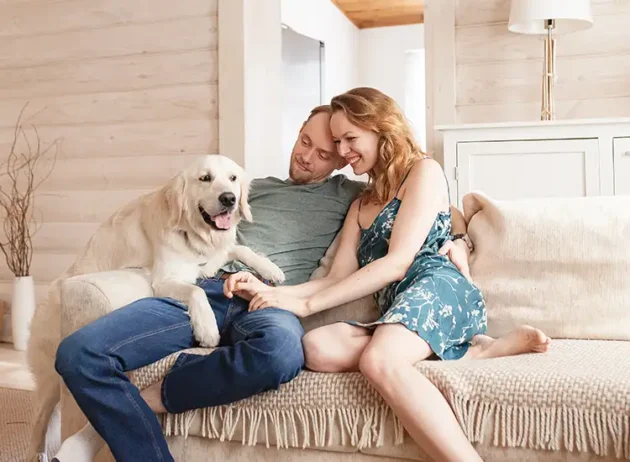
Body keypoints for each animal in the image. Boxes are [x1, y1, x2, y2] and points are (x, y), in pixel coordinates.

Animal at [25, 153, 286, 460]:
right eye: (205, 178)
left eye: (233, 178)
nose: (229, 199)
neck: (192, 233)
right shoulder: (165, 279)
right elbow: (197, 291)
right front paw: (207, 329)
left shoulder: (207, 262)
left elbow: (238, 249)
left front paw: (270, 269)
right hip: (49, 378)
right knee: (39, 421)